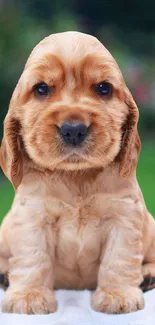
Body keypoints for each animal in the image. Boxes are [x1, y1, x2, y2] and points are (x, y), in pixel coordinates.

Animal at [0, 31, 155, 314]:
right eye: (41, 89)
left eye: (103, 88)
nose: (73, 129)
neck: (76, 176)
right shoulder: (32, 217)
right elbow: (33, 257)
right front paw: (29, 297)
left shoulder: (124, 216)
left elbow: (118, 258)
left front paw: (118, 296)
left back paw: (148, 275)